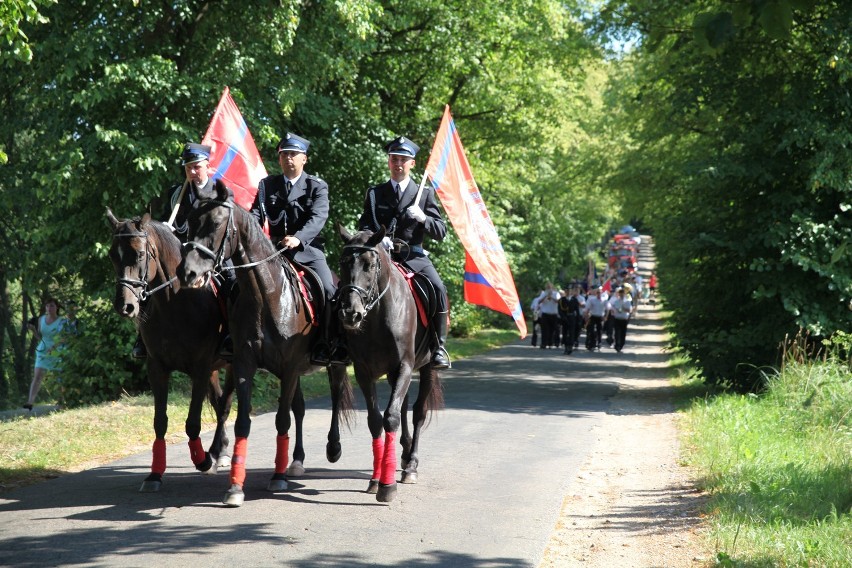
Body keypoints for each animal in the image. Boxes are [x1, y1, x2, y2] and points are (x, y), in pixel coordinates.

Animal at [110, 211, 238, 490]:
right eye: (112, 255)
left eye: (139, 254)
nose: (125, 306)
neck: (176, 303)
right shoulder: (157, 368)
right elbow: (160, 421)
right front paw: (155, 474)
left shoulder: (200, 369)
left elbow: (192, 422)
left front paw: (202, 460)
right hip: (214, 369)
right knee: (218, 401)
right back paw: (220, 450)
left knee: (224, 404)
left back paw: (216, 453)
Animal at [176, 182, 352, 506]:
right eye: (190, 222)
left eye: (216, 224)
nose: (188, 273)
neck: (267, 295)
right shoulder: (246, 364)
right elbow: (243, 422)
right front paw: (235, 487)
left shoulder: (290, 367)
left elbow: (281, 421)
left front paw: (277, 477)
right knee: (300, 409)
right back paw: (296, 461)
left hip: (331, 365)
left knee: (334, 398)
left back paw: (332, 448)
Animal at [336, 224, 446, 504]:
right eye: (343, 262)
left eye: (370, 264)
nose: (350, 313)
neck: (376, 316)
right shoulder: (364, 372)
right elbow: (376, 420)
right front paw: (376, 479)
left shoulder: (404, 367)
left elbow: (392, 417)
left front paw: (387, 486)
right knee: (405, 408)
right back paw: (404, 455)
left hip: (427, 368)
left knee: (417, 412)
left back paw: (411, 465)